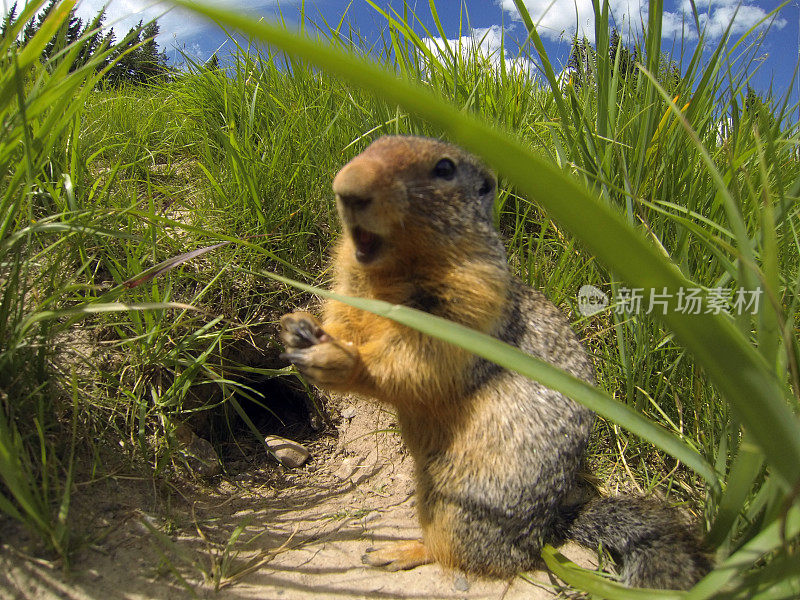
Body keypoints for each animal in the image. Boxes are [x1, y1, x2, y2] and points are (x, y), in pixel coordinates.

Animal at [278, 136, 708, 592]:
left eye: (444, 168)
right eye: (373, 145)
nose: (348, 186)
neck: (387, 277)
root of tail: (545, 531)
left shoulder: (469, 304)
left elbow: (417, 361)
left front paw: (339, 360)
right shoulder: (349, 288)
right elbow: (343, 320)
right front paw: (298, 327)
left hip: (462, 503)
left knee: (466, 553)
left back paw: (398, 551)